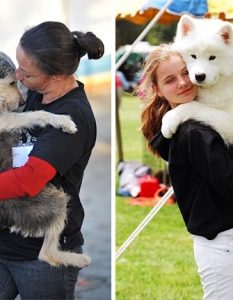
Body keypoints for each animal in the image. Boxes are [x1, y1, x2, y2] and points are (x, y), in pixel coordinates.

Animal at [0, 51, 91, 268]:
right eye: (11, 82)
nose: (22, 103)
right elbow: (38, 112)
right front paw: (63, 120)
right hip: (55, 201)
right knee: (46, 254)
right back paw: (76, 258)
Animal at [162, 14, 233, 146]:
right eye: (193, 56)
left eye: (212, 57)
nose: (199, 76)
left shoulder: (230, 121)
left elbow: (194, 105)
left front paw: (170, 119)